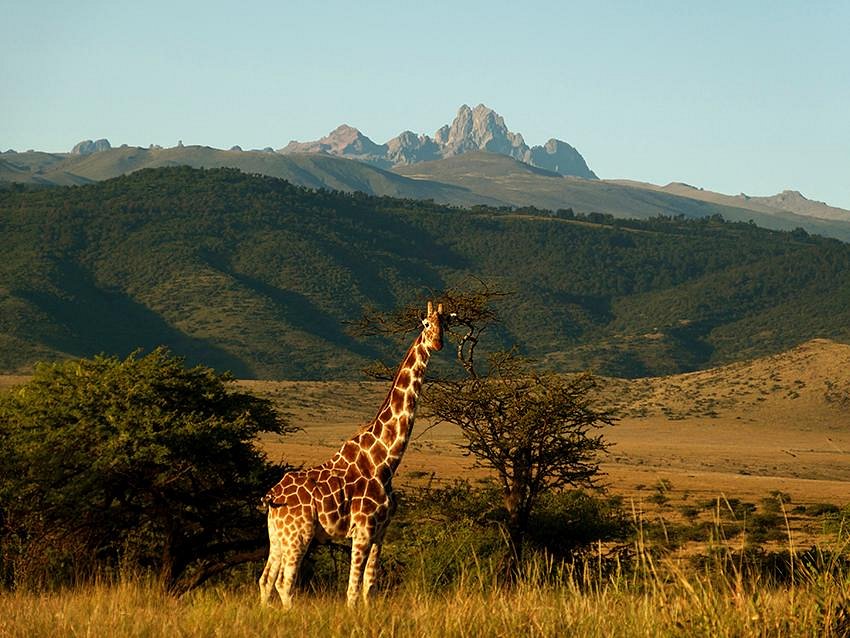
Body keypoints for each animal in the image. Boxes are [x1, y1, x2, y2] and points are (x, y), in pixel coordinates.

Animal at [256, 300, 444, 608]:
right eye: (426, 324)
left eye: (446, 325)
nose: (437, 343)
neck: (385, 461)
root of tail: (272, 496)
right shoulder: (363, 529)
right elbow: (353, 590)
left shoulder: (381, 530)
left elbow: (369, 585)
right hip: (299, 534)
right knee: (285, 583)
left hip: (278, 535)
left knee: (266, 579)